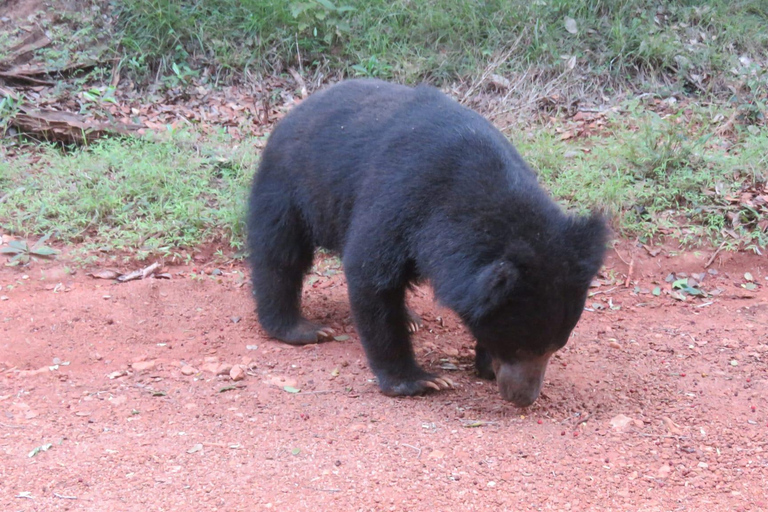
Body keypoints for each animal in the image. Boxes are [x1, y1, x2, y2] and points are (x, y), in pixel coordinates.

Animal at [246, 79, 608, 408]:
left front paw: (484, 365)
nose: (524, 398)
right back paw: (299, 328)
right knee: (280, 254)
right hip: (290, 183)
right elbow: (369, 274)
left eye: (556, 346)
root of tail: (297, 110)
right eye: (519, 346)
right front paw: (420, 380)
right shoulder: (400, 197)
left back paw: (409, 317)